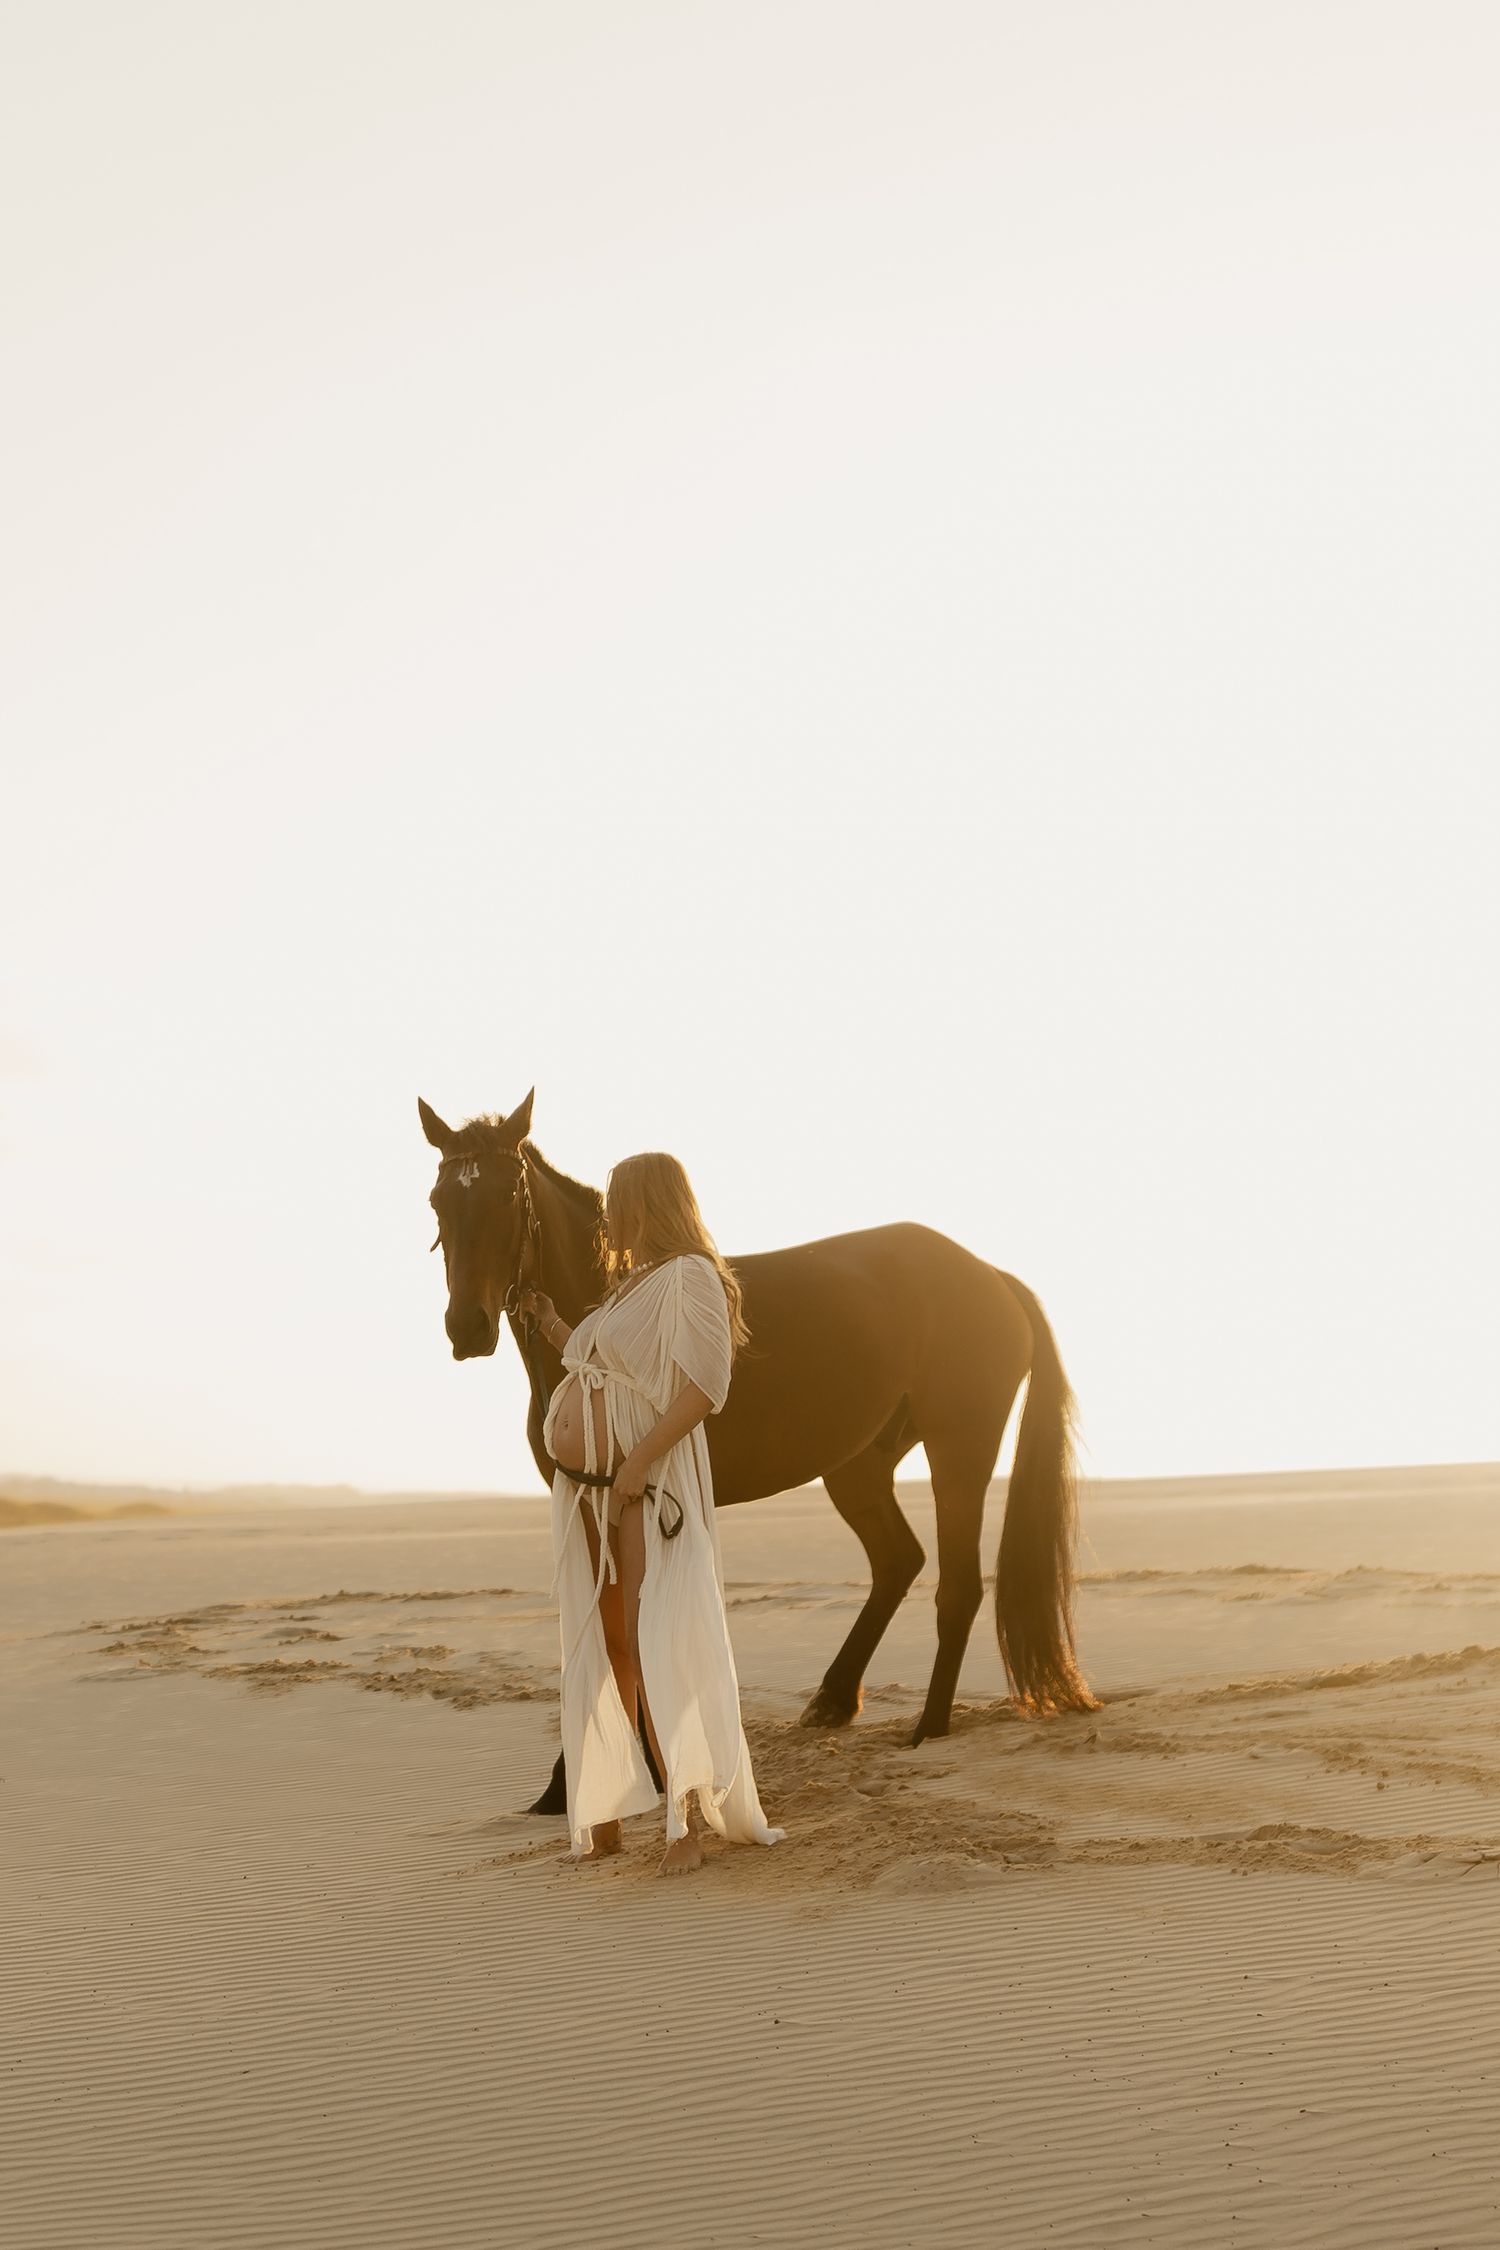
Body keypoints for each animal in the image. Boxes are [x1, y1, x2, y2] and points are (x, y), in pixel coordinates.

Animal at [420, 1088, 1098, 1813]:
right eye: (438, 1202)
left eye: (505, 1197)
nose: (467, 1328)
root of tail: (991, 1274)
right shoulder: (586, 1495)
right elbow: (606, 1628)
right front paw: (570, 1784)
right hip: (857, 1469)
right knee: (898, 1562)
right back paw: (833, 1701)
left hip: (959, 1453)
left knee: (958, 1586)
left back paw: (928, 1729)